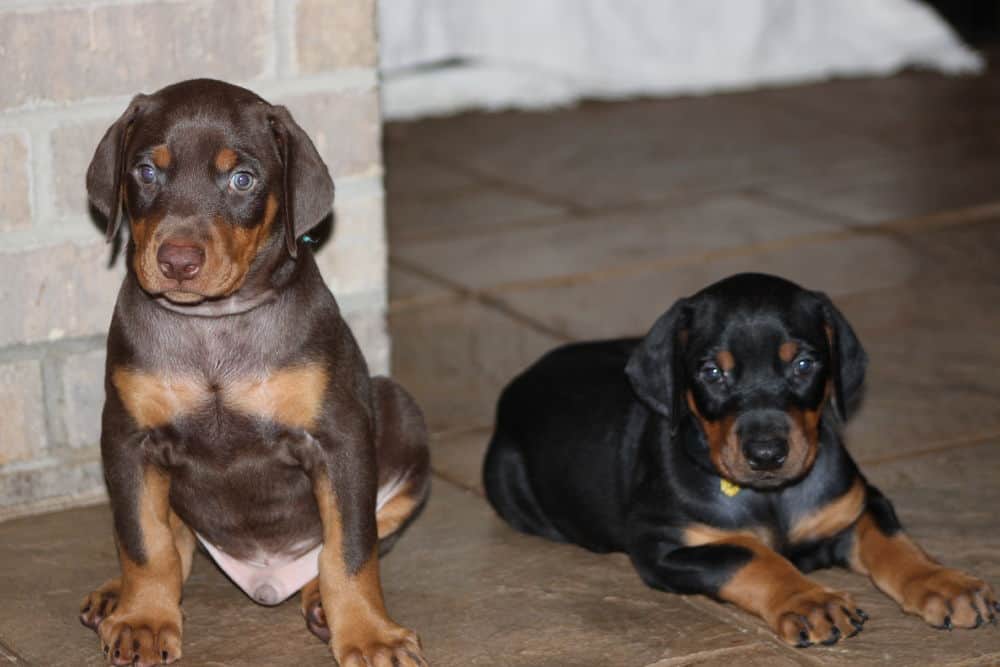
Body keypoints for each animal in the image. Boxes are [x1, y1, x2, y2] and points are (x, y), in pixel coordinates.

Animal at [78, 79, 430, 667]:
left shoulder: (339, 438)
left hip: (399, 409)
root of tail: (267, 577)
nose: (177, 261)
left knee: (359, 534)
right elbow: (144, 541)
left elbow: (351, 549)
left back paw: (318, 598)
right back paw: (114, 595)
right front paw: (143, 619)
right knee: (174, 536)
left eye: (241, 179)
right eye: (146, 171)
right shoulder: (127, 438)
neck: (215, 323)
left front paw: (369, 634)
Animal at [482, 272, 992, 648]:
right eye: (712, 373)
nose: (767, 454)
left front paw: (945, 584)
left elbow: (893, 541)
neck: (771, 497)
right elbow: (751, 553)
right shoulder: (662, 545)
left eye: (803, 364)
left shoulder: (859, 501)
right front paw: (810, 601)